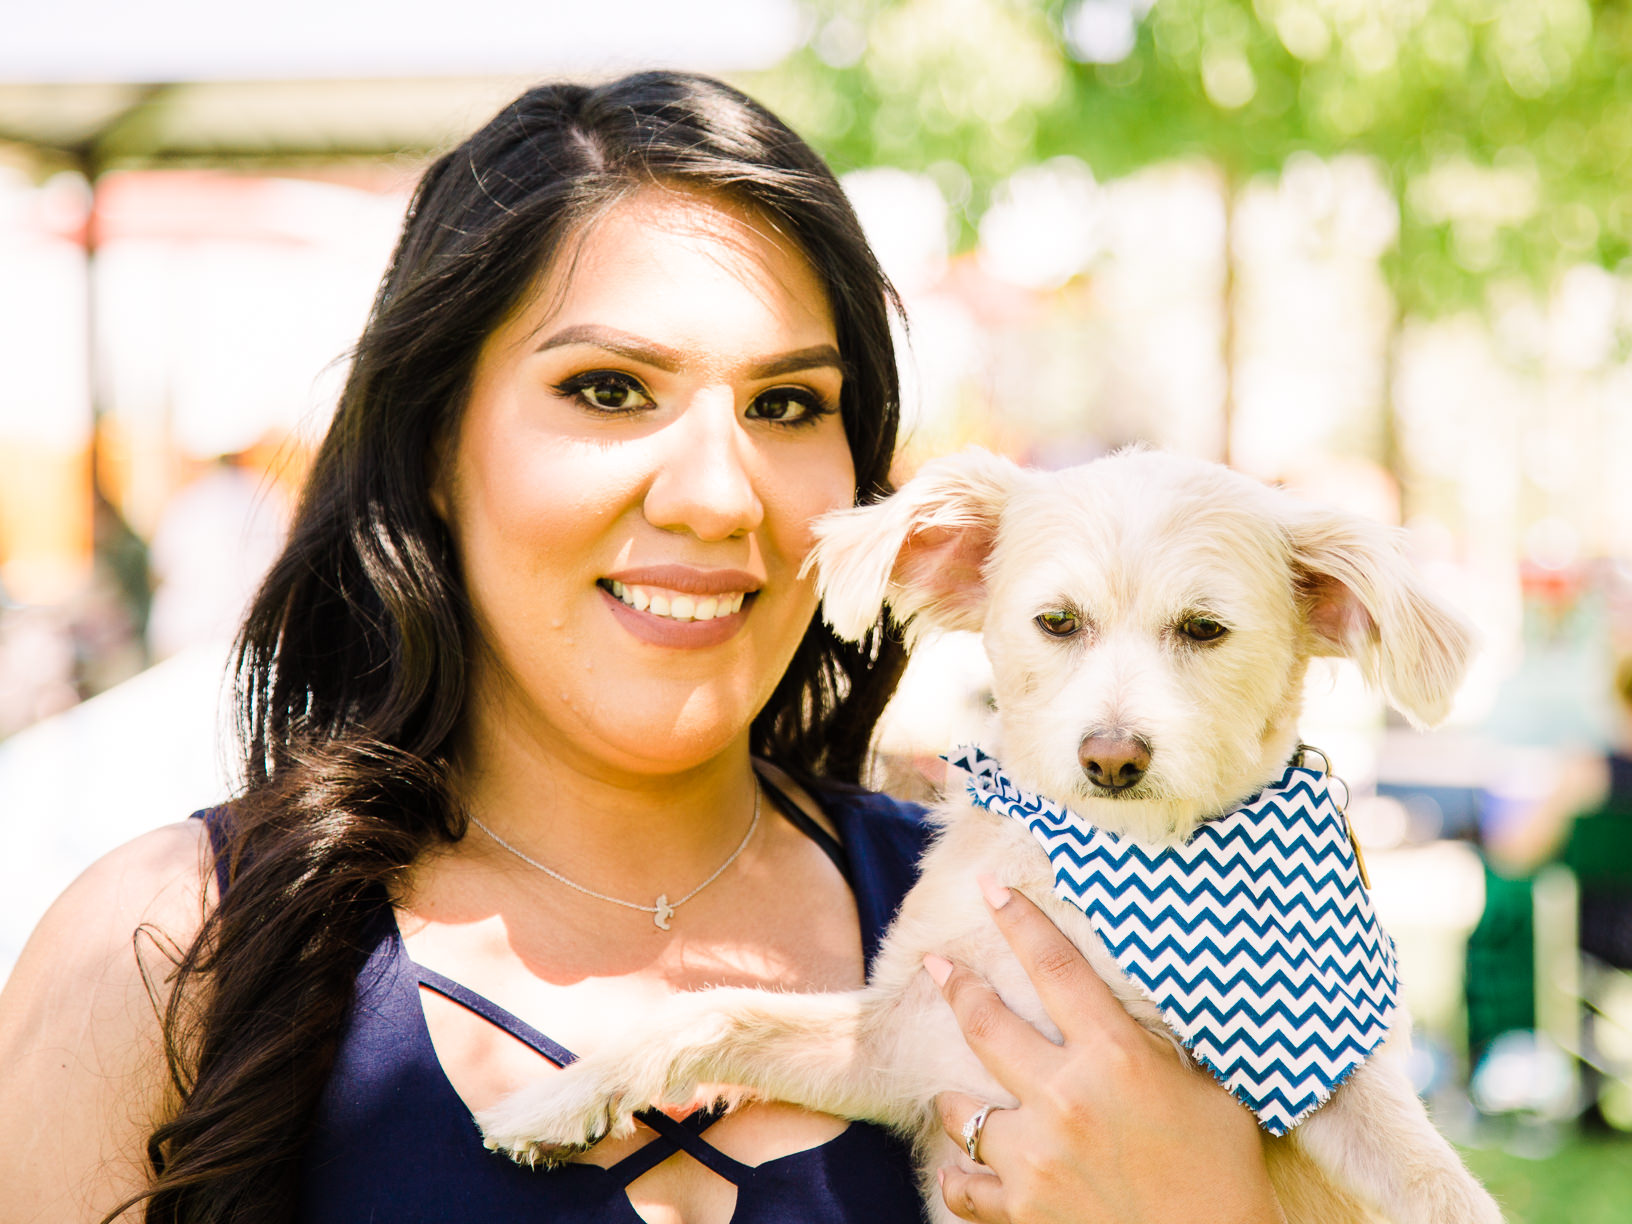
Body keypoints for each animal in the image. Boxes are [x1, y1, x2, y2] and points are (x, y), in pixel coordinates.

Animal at [479, 450, 1501, 1224]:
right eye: (1057, 621)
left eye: (1205, 629)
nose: (1112, 757)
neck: (1117, 871)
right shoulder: (911, 1048)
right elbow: (718, 1009)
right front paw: (562, 1099)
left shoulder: (1346, 1092)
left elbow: (1443, 1192)